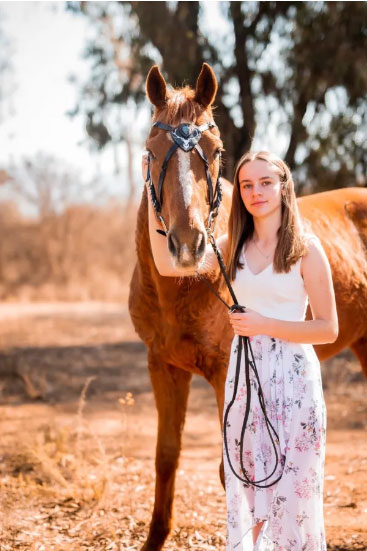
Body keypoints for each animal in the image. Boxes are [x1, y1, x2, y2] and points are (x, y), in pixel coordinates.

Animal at [129, 62, 367, 548]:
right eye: (151, 149)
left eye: (216, 150)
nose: (189, 246)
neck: (184, 287)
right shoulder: (162, 365)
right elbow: (166, 456)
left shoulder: (228, 372)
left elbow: (233, 470)